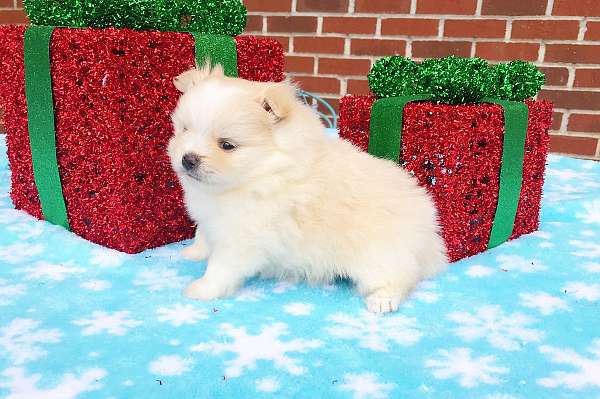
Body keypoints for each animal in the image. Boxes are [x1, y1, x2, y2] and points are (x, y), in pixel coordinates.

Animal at [169, 64, 446, 314]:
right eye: (185, 130)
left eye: (227, 145)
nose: (188, 159)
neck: (262, 173)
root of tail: (427, 231)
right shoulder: (212, 219)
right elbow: (203, 234)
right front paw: (194, 252)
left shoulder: (243, 237)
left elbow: (221, 267)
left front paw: (202, 289)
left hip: (379, 259)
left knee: (402, 277)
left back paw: (383, 300)